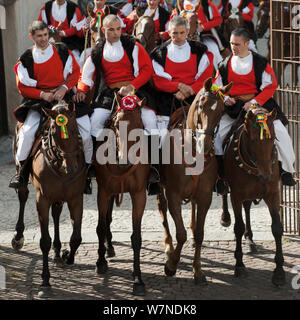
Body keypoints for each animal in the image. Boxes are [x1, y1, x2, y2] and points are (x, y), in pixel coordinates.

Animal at [11, 101, 85, 296]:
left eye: (75, 128)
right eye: (53, 131)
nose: (71, 167)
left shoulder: (76, 198)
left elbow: (76, 238)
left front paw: (66, 256)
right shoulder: (42, 200)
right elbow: (44, 240)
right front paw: (45, 282)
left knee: (57, 214)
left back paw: (58, 252)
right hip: (22, 177)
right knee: (22, 197)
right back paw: (18, 236)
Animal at [94, 92, 150, 296]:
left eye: (139, 125)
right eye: (117, 125)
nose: (126, 159)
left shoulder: (139, 195)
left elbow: (136, 237)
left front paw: (138, 278)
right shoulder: (103, 192)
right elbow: (100, 227)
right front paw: (100, 262)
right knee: (105, 221)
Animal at [157, 79, 232, 284]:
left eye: (221, 110)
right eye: (201, 105)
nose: (204, 144)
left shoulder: (205, 196)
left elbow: (200, 234)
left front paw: (197, 270)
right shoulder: (173, 195)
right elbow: (180, 233)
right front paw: (171, 265)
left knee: (191, 207)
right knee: (162, 208)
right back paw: (168, 246)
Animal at [221, 107, 284, 284]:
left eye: (273, 138)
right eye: (253, 140)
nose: (266, 175)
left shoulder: (273, 194)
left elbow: (277, 228)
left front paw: (279, 271)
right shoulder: (236, 195)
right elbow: (238, 226)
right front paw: (239, 265)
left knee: (247, 207)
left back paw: (250, 239)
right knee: (224, 194)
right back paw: (225, 217)